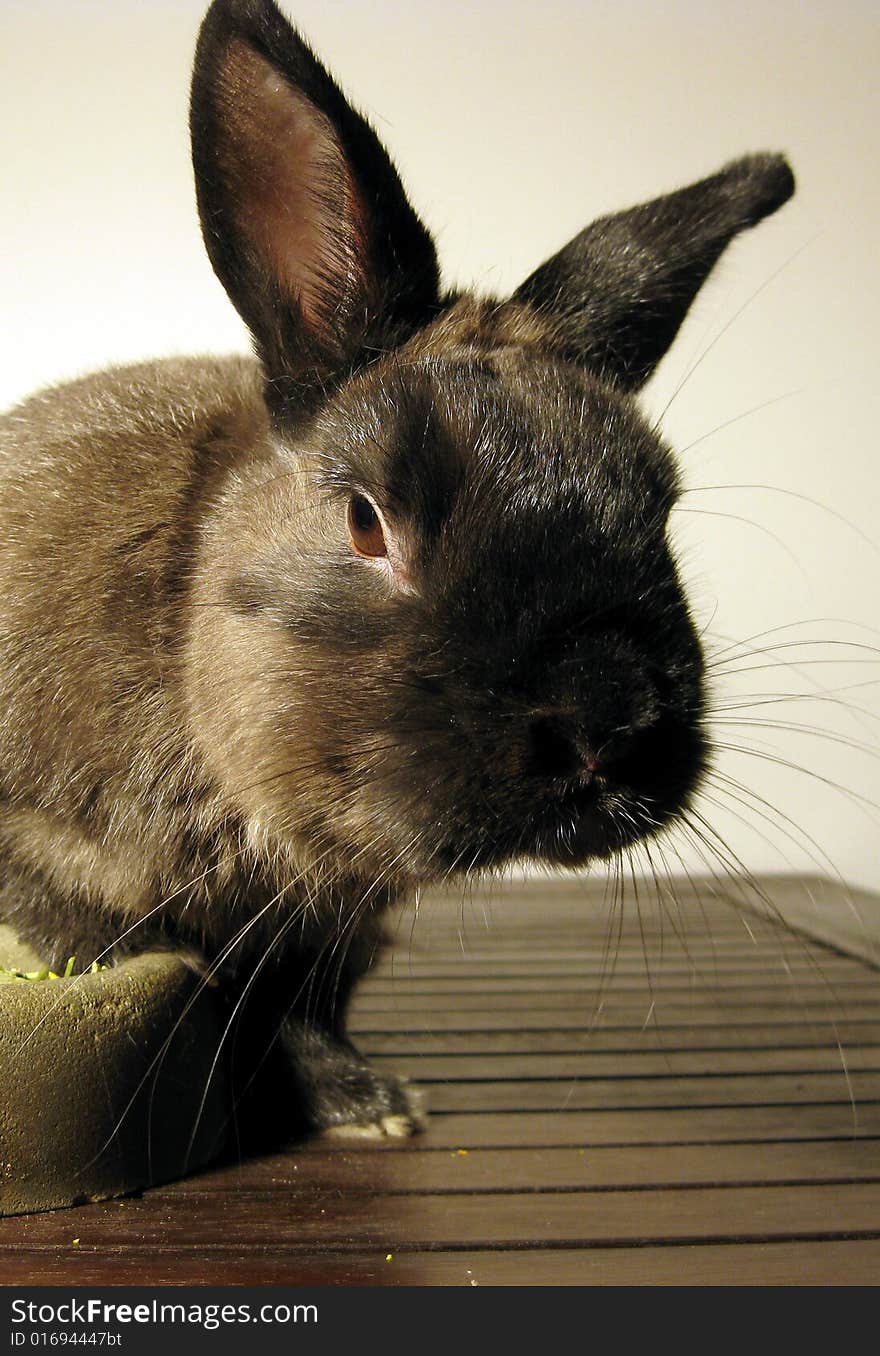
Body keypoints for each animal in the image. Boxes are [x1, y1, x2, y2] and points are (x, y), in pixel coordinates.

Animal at [0, 0, 797, 1144]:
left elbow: (304, 1012)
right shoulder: (46, 855)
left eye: (659, 503)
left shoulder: (336, 930)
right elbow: (155, 971)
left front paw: (367, 1104)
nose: (607, 722)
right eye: (368, 522)